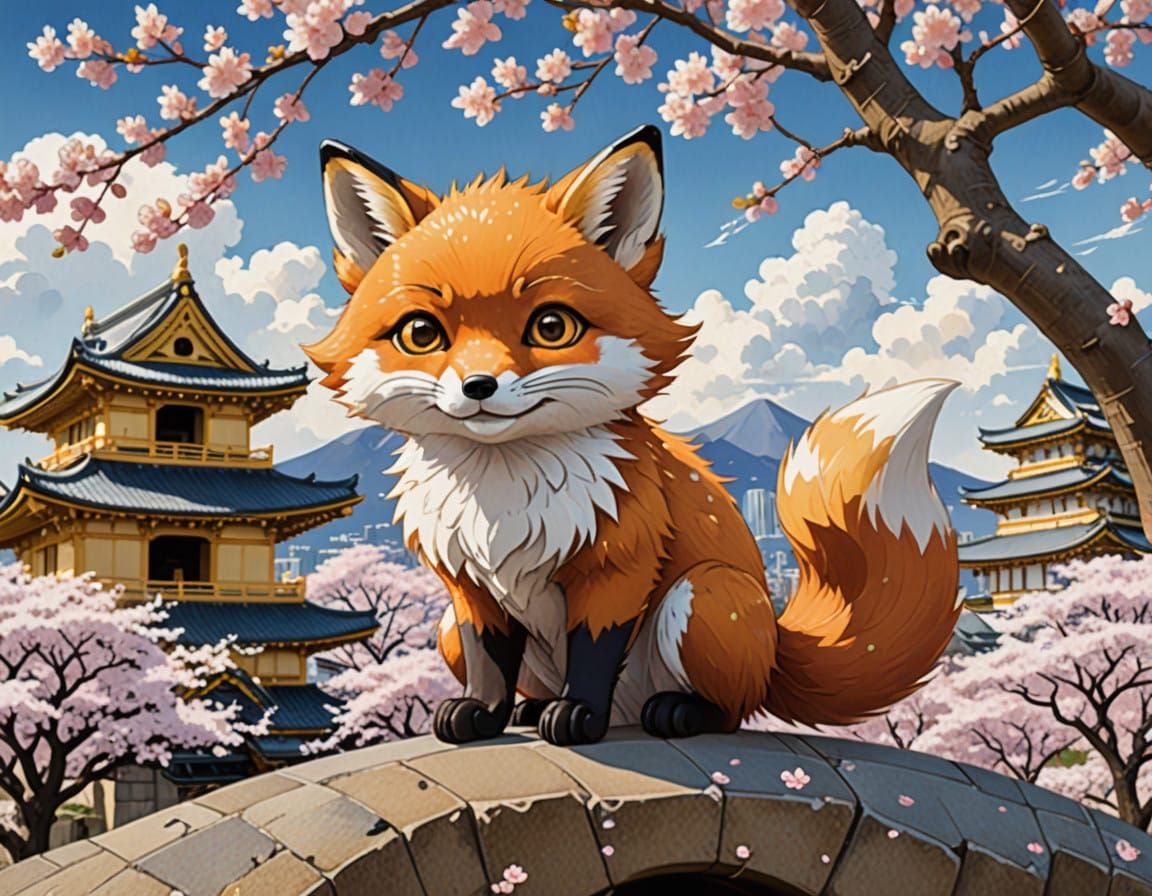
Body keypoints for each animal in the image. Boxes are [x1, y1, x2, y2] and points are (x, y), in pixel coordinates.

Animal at [304, 125, 962, 746]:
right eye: (422, 333)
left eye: (551, 326)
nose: (479, 386)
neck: (503, 498)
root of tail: (777, 653)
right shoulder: (469, 586)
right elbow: (489, 662)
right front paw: (483, 714)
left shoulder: (620, 562)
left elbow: (594, 653)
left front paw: (576, 715)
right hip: (444, 629)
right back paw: (530, 707)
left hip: (705, 598)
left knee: (732, 710)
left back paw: (675, 712)